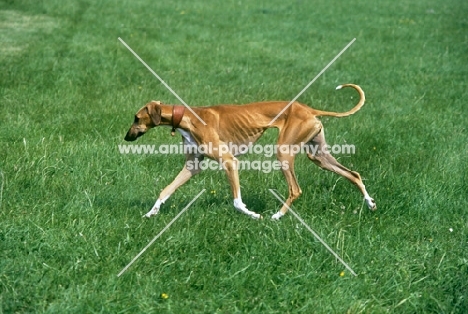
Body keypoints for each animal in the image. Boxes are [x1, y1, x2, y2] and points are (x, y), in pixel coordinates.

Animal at [124, 84, 376, 220]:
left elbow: (237, 202)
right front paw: (151, 213)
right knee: (353, 174)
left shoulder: (229, 161)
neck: (188, 118)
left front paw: (254, 215)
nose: (126, 137)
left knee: (295, 190)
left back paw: (277, 216)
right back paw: (370, 203)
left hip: (284, 152)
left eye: (136, 118)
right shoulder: (192, 166)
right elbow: (165, 190)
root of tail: (308, 109)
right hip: (319, 155)